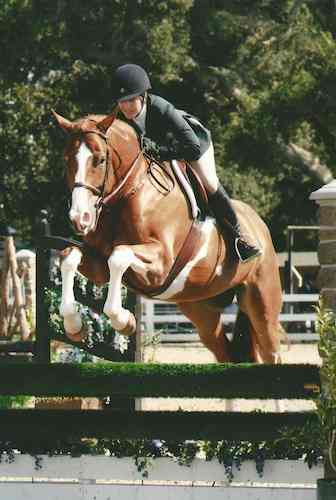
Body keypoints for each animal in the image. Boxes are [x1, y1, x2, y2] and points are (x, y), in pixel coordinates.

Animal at [51, 109, 284, 364]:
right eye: (66, 160)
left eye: (100, 159)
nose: (79, 218)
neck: (130, 193)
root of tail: (259, 225)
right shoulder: (99, 264)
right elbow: (69, 256)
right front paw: (74, 326)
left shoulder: (161, 263)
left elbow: (119, 255)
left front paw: (124, 321)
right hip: (200, 309)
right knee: (224, 350)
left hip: (262, 302)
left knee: (271, 349)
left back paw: (247, 247)